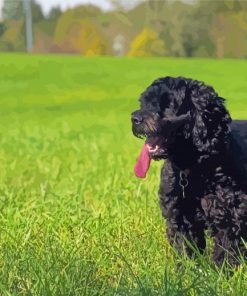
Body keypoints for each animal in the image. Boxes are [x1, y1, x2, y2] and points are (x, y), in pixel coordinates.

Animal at [131, 77, 247, 266]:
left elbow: (226, 248)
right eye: (143, 102)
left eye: (168, 104)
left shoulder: (230, 213)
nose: (134, 118)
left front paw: (222, 270)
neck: (192, 168)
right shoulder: (180, 214)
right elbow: (185, 246)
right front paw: (187, 269)